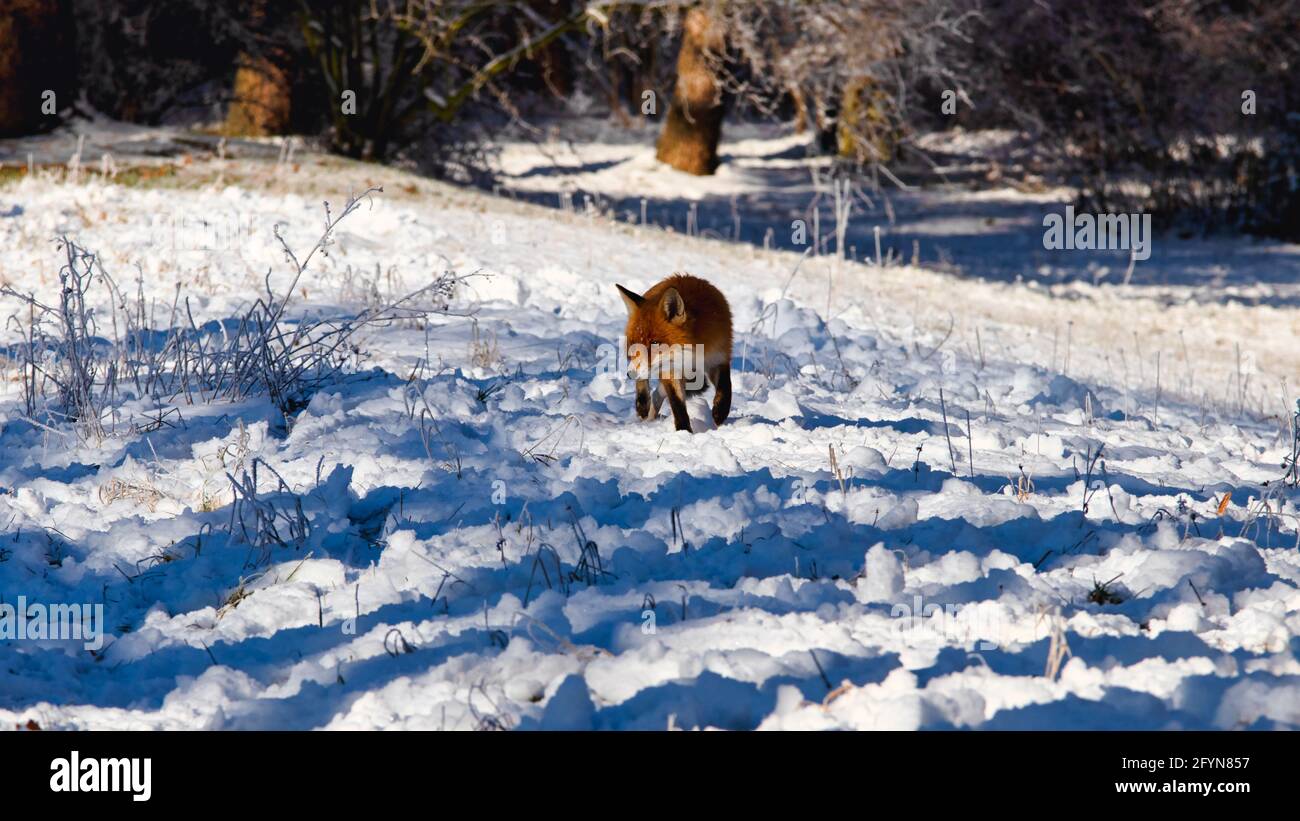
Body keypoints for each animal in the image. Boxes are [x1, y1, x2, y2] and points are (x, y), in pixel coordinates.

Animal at [616, 273, 733, 433]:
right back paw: (644, 406)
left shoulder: (718, 358)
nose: (630, 374)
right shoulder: (670, 370)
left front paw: (720, 412)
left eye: (654, 343)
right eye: (635, 344)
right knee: (649, 389)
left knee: (657, 394)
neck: (693, 353)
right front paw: (684, 431)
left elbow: (726, 387)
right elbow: (677, 404)